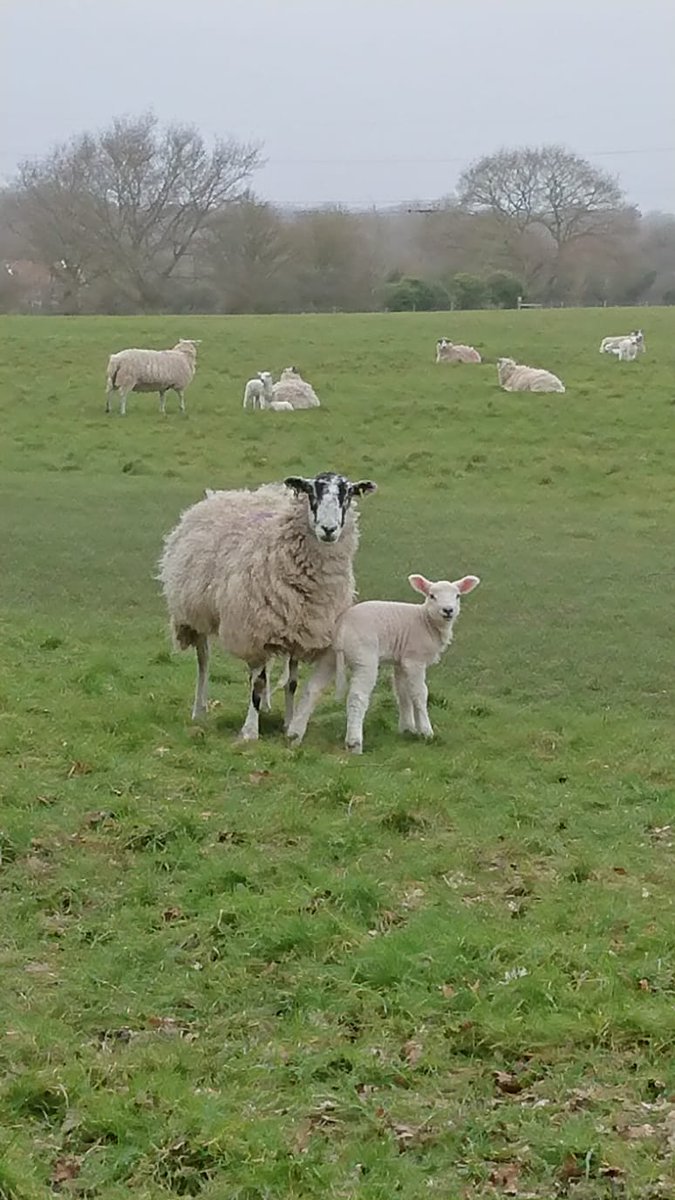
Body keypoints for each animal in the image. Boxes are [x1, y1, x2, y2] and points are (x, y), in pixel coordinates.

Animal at [158, 471, 377, 741]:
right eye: (311, 492)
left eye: (347, 494)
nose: (329, 529)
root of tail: (224, 494)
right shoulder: (256, 631)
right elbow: (258, 682)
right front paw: (250, 732)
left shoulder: (299, 632)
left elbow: (291, 682)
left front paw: (289, 723)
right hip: (196, 612)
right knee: (204, 660)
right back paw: (199, 710)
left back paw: (265, 705)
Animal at [287, 572, 480, 753]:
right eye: (432, 595)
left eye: (457, 596)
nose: (448, 610)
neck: (425, 621)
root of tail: (342, 628)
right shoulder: (414, 659)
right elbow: (420, 694)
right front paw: (426, 731)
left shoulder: (401, 661)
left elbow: (403, 693)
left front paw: (408, 729)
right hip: (364, 657)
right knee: (357, 697)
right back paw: (354, 743)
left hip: (330, 656)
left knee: (312, 689)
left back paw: (294, 735)